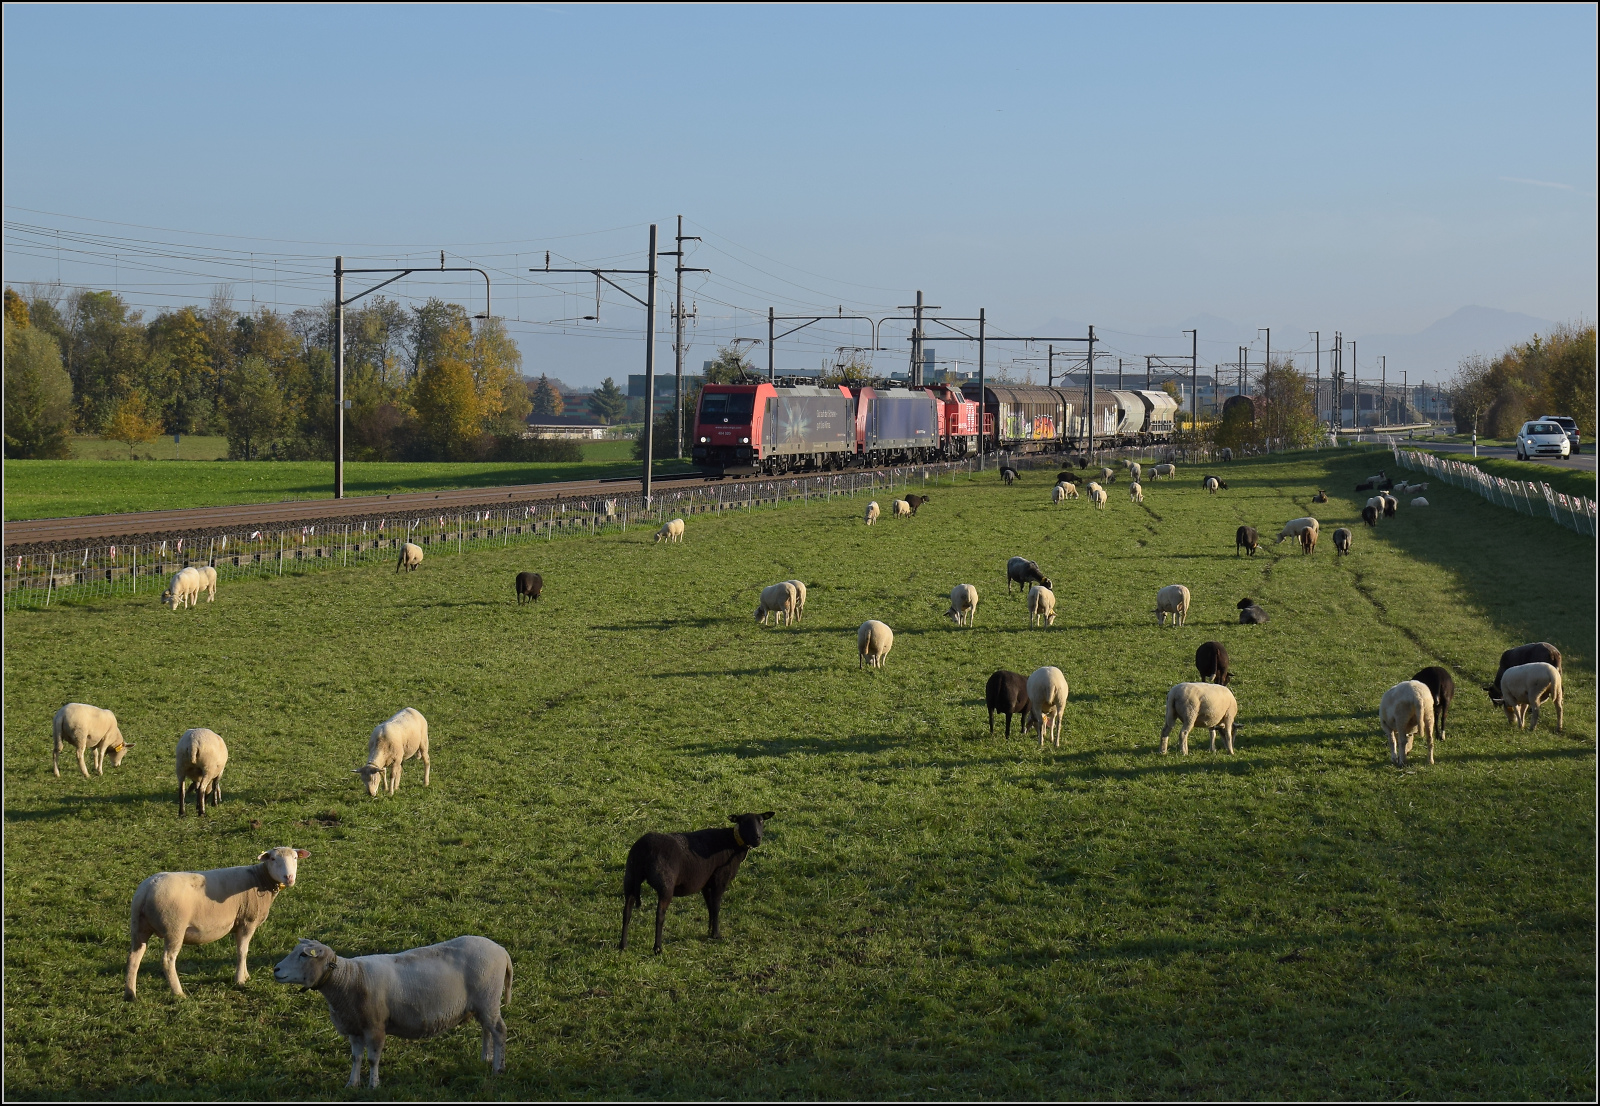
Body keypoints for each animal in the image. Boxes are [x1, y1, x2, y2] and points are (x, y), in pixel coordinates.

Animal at [126, 845, 307, 1005]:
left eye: (295, 858)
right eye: (273, 859)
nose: (289, 878)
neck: (259, 879)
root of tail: (147, 890)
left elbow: (243, 951)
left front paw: (245, 975)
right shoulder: (247, 922)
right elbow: (243, 951)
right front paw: (240, 980)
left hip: (138, 926)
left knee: (134, 958)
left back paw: (130, 994)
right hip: (174, 928)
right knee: (167, 960)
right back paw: (178, 993)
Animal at [268, 934, 505, 1088]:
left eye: (303, 955)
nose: (276, 969)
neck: (348, 978)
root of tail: (501, 950)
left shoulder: (375, 1027)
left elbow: (373, 1059)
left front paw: (373, 1085)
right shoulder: (355, 1027)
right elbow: (355, 1058)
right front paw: (352, 1084)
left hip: (488, 998)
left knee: (499, 1031)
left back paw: (498, 1068)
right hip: (484, 1004)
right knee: (487, 1030)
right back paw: (485, 1058)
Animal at [617, 809, 774, 953]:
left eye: (761, 821)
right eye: (743, 822)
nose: (757, 837)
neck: (733, 843)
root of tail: (643, 849)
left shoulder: (706, 883)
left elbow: (710, 906)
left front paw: (709, 931)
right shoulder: (720, 880)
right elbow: (716, 907)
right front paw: (716, 934)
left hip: (630, 878)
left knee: (627, 912)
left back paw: (623, 945)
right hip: (665, 885)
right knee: (659, 915)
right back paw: (658, 948)